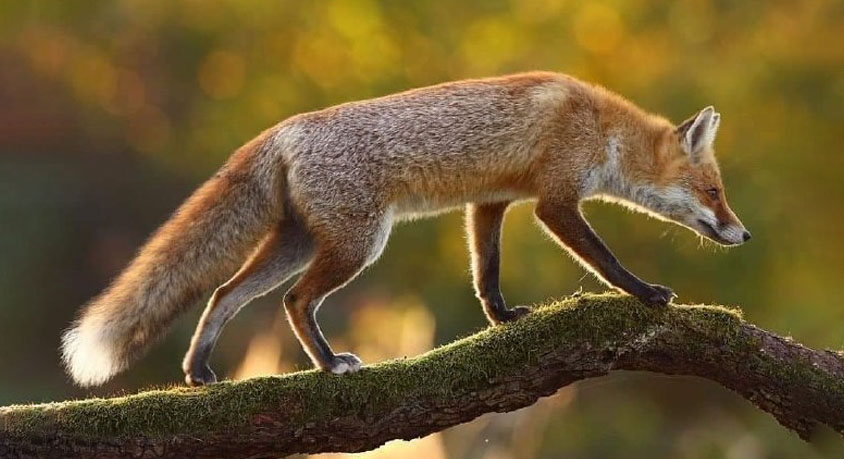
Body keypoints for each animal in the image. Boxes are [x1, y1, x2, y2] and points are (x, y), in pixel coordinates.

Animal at [61, 72, 750, 387]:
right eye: (716, 192)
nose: (742, 236)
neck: (599, 127)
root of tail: (282, 128)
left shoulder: (492, 201)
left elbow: (486, 273)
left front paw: (502, 319)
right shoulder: (554, 201)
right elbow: (605, 260)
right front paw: (646, 293)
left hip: (300, 242)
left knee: (224, 295)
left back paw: (200, 371)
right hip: (358, 245)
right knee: (295, 301)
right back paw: (327, 363)